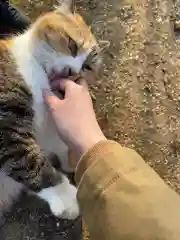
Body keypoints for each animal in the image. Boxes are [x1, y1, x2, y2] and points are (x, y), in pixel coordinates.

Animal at [0, 0, 109, 221]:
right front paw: (67, 198)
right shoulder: (6, 123)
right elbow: (30, 163)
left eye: (87, 67)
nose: (72, 72)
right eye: (71, 44)